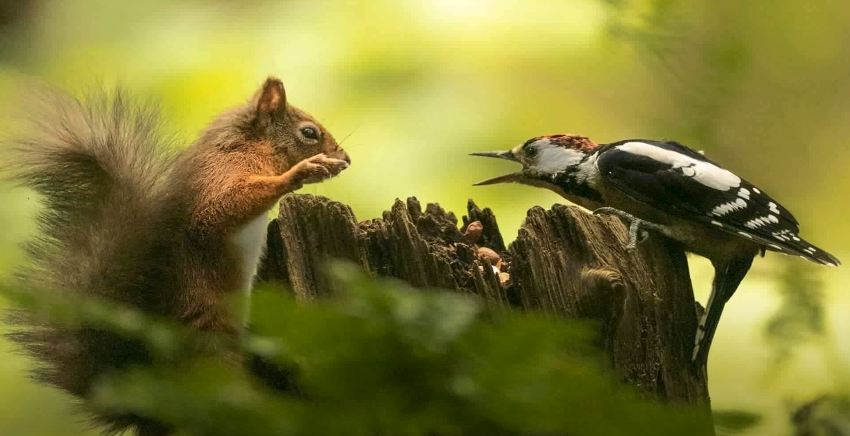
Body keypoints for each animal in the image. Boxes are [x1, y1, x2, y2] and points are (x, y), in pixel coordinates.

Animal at [5, 76, 350, 435]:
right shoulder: (222, 175)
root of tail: (154, 404)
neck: (249, 144)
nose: (346, 158)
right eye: (309, 132)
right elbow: (222, 208)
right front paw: (302, 172)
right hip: (210, 350)